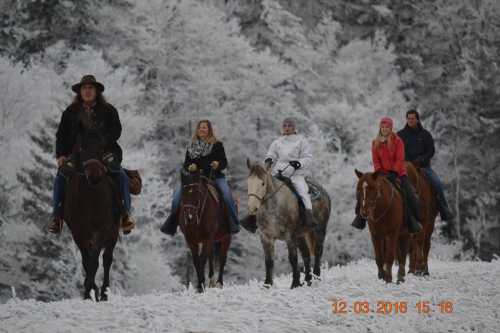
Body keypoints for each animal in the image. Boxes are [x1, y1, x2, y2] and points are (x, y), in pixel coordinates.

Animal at [63, 126, 120, 300]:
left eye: (102, 148)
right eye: (81, 148)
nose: (94, 175)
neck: (90, 198)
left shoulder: (102, 229)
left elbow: (94, 261)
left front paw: (91, 290)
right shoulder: (78, 232)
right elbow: (86, 262)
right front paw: (89, 291)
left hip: (113, 232)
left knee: (107, 259)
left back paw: (105, 293)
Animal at [247, 159, 332, 288]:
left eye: (262, 183)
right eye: (248, 182)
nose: (252, 208)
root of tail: (324, 192)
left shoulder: (289, 236)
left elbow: (293, 258)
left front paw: (295, 284)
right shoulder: (265, 237)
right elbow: (269, 261)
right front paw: (267, 285)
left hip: (320, 229)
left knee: (317, 251)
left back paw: (316, 277)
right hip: (301, 235)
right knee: (306, 254)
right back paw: (308, 280)